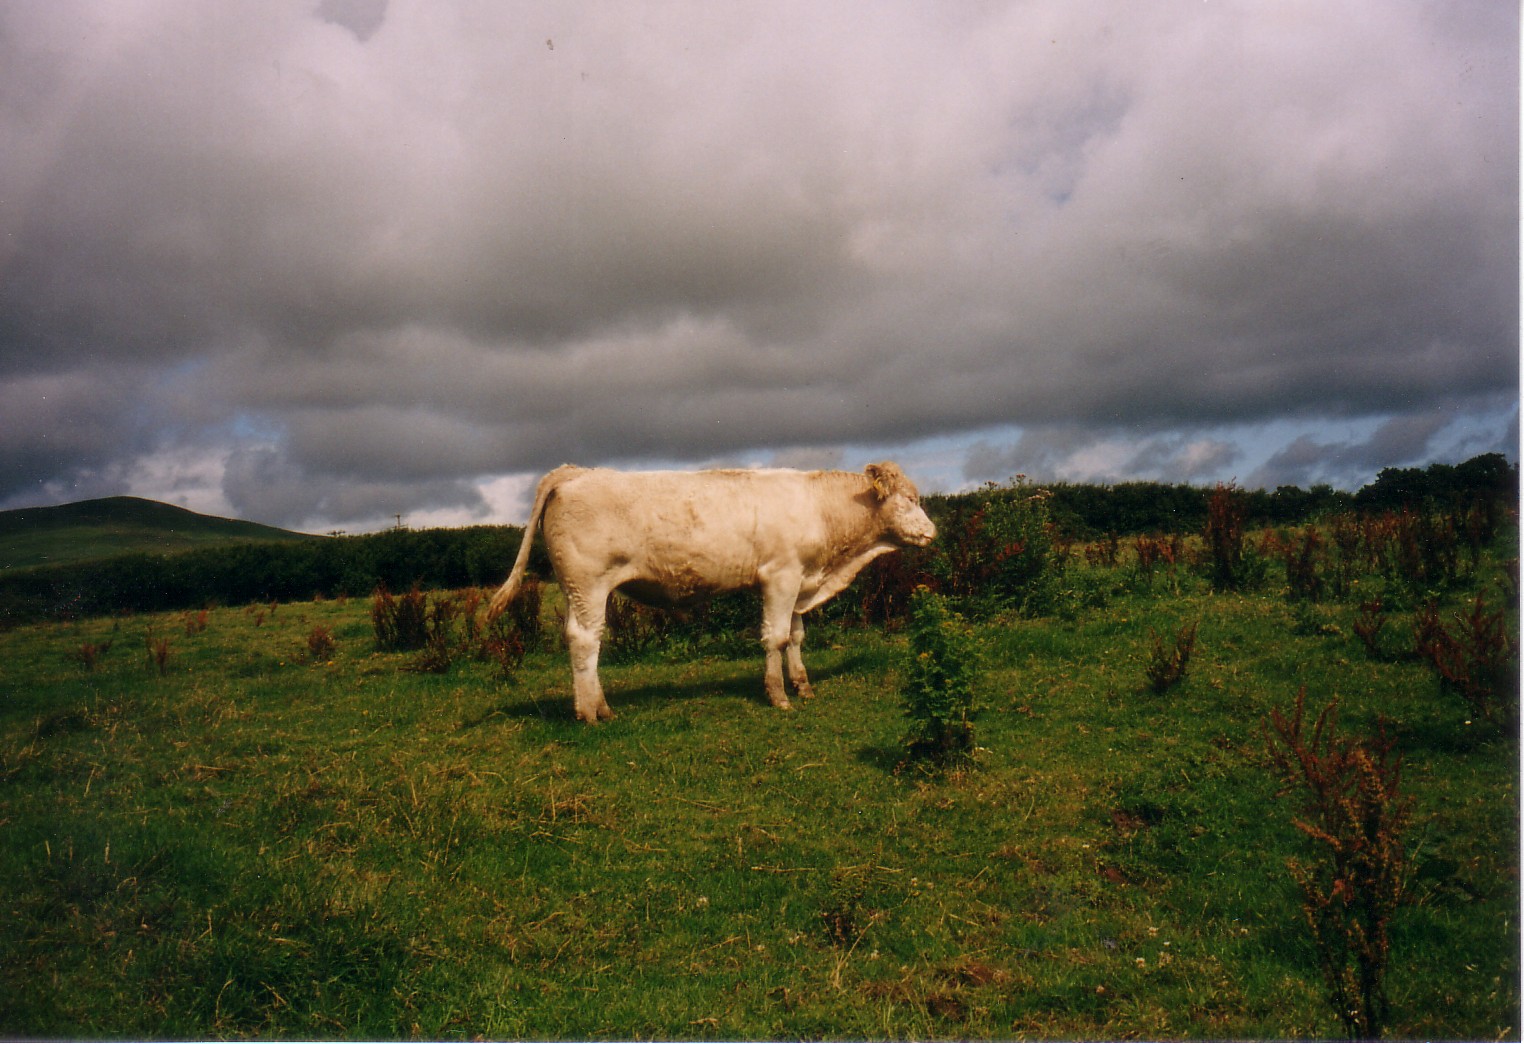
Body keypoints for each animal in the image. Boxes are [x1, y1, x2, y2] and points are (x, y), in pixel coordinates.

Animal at [487, 460, 938, 719]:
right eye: (911, 499)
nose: (933, 532)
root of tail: (576, 471)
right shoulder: (780, 576)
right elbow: (775, 638)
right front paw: (778, 695)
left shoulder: (800, 581)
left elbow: (796, 636)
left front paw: (803, 685)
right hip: (589, 583)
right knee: (585, 641)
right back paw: (591, 713)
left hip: (573, 589)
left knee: (580, 638)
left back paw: (599, 707)